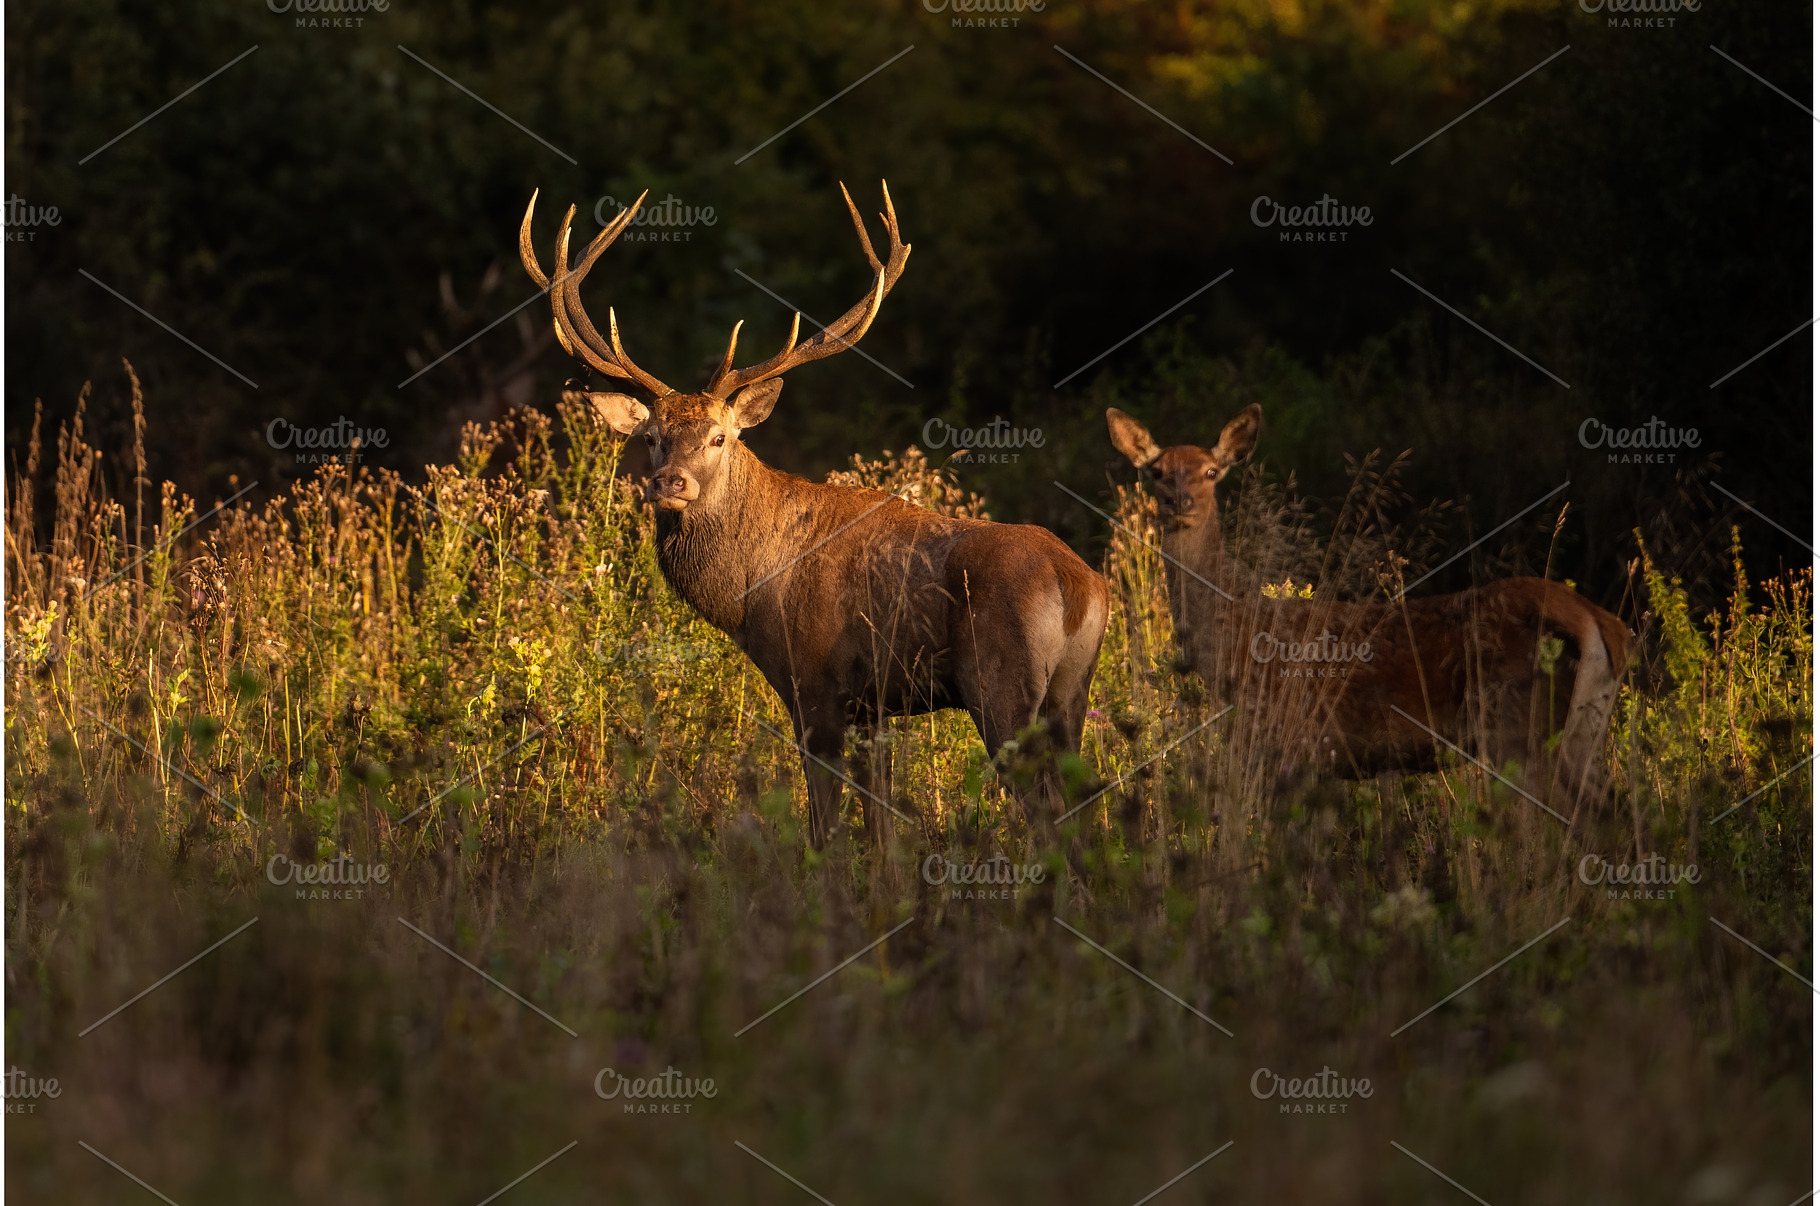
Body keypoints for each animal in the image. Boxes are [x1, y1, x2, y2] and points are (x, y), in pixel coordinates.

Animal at [521, 181, 1109, 847]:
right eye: (651, 436)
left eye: (720, 436)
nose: (669, 483)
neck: (749, 590)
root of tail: (1079, 585)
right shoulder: (875, 704)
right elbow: (881, 826)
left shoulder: (813, 682)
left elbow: (823, 825)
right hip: (1070, 694)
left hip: (1002, 688)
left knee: (1045, 809)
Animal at [1105, 403, 1630, 818]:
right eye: (1155, 471)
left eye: (1212, 472)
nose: (1181, 501)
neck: (1237, 639)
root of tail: (1602, 623)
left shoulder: (1291, 741)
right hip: (1581, 733)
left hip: (1519, 726)